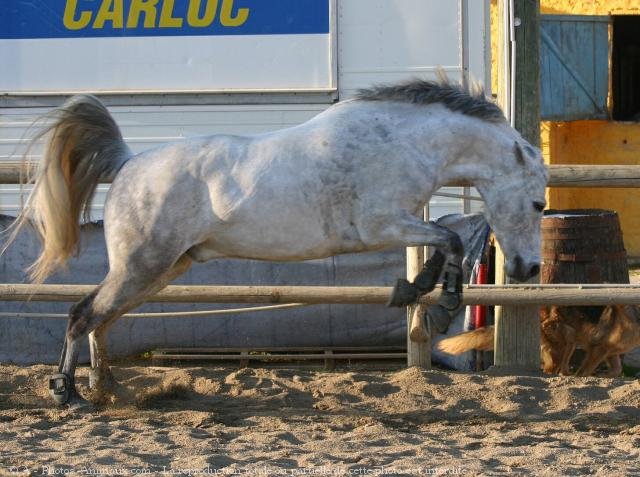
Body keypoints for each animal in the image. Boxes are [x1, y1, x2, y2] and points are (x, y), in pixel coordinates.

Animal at [3, 78, 544, 406]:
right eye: (539, 204)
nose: (528, 270)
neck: (399, 141)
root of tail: (128, 163)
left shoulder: (399, 223)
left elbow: (445, 240)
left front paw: (422, 291)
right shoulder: (381, 225)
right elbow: (449, 237)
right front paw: (429, 294)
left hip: (161, 269)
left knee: (102, 318)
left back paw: (107, 388)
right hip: (143, 266)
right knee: (82, 314)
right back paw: (68, 393)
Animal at [436, 304, 640, 376]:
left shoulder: (609, 353)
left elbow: (615, 371)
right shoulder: (597, 350)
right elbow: (585, 371)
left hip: (569, 344)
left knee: (557, 369)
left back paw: (564, 375)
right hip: (566, 341)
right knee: (551, 369)